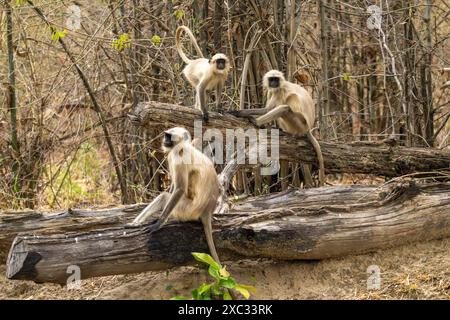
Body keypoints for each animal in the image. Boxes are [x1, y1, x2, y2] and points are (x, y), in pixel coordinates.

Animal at [129, 126, 222, 264]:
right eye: (166, 135)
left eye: (169, 136)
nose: (165, 140)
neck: (181, 146)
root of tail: (207, 210)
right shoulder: (171, 155)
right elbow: (173, 186)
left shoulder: (180, 157)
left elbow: (179, 189)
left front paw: (158, 223)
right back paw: (134, 224)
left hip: (188, 209)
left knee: (166, 196)